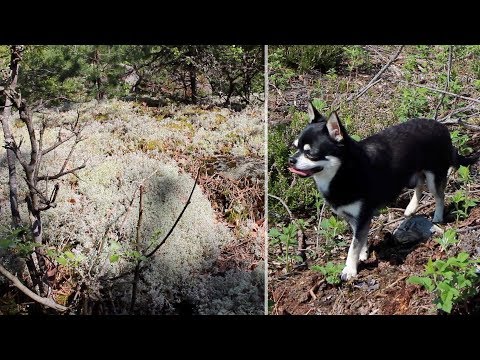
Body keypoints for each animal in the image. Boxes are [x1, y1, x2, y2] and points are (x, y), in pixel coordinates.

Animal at [286, 102, 478, 280]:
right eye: (295, 147)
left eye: (311, 153)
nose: (290, 160)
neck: (342, 172)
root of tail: (441, 125)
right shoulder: (356, 219)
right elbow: (360, 239)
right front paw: (363, 253)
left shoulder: (362, 216)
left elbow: (353, 246)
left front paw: (350, 269)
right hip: (413, 176)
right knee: (419, 186)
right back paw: (410, 208)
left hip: (434, 175)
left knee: (439, 195)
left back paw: (438, 216)